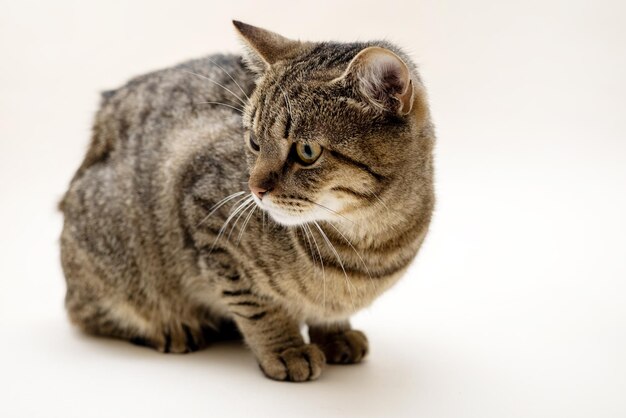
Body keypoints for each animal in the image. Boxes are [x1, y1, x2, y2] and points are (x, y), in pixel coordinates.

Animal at [58, 20, 434, 382]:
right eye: (254, 142)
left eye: (307, 151)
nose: (254, 189)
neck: (366, 243)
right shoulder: (205, 214)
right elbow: (257, 306)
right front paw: (285, 348)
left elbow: (326, 311)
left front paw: (334, 333)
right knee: (89, 313)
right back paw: (171, 326)